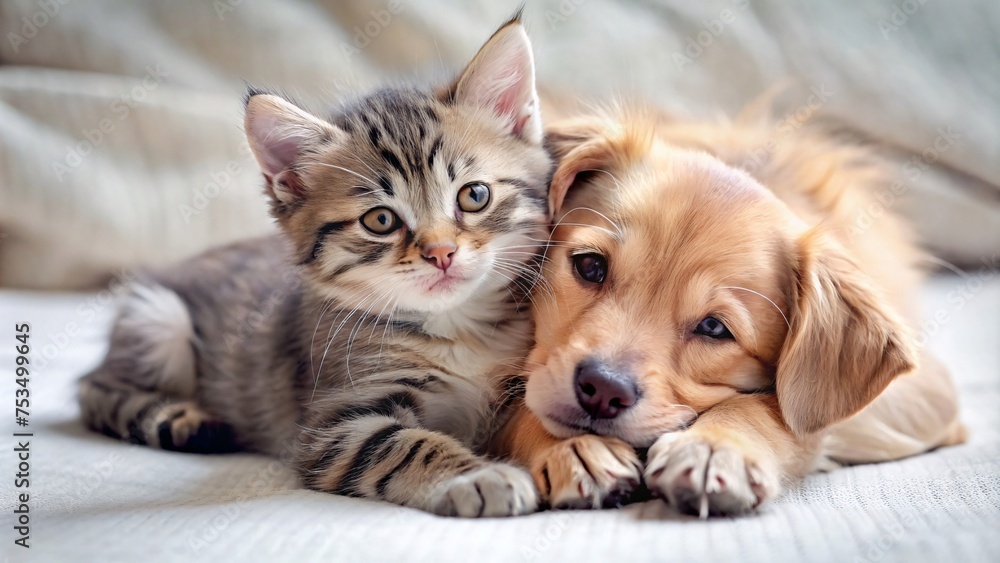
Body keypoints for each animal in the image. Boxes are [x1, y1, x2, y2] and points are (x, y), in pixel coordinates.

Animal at [76, 16, 556, 520]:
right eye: (380, 220)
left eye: (474, 195)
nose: (441, 252)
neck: (457, 329)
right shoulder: (333, 428)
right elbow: (407, 445)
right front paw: (480, 476)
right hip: (159, 316)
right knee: (94, 388)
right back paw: (182, 417)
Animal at [496, 109, 964, 516]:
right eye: (590, 266)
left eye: (713, 327)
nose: (602, 389)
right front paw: (570, 448)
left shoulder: (924, 393)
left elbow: (775, 409)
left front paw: (715, 447)